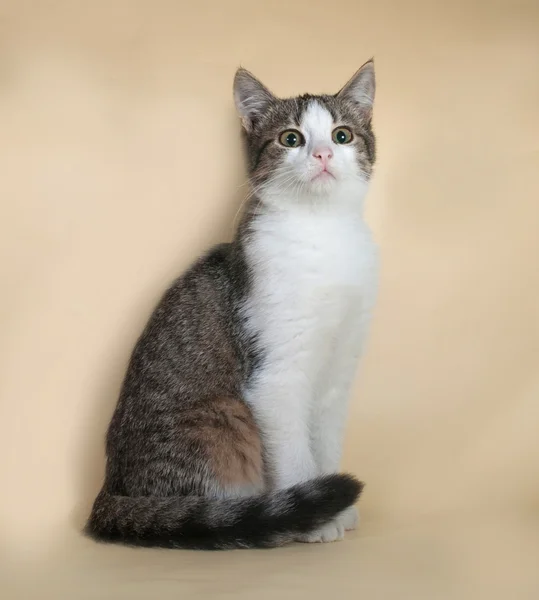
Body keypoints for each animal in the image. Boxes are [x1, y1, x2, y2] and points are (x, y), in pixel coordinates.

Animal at [86, 58, 378, 552]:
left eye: (342, 135)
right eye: (291, 139)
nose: (322, 154)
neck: (322, 232)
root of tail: (110, 488)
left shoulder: (338, 371)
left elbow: (325, 441)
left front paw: (336, 507)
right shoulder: (274, 378)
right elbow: (295, 454)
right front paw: (315, 518)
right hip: (221, 421)